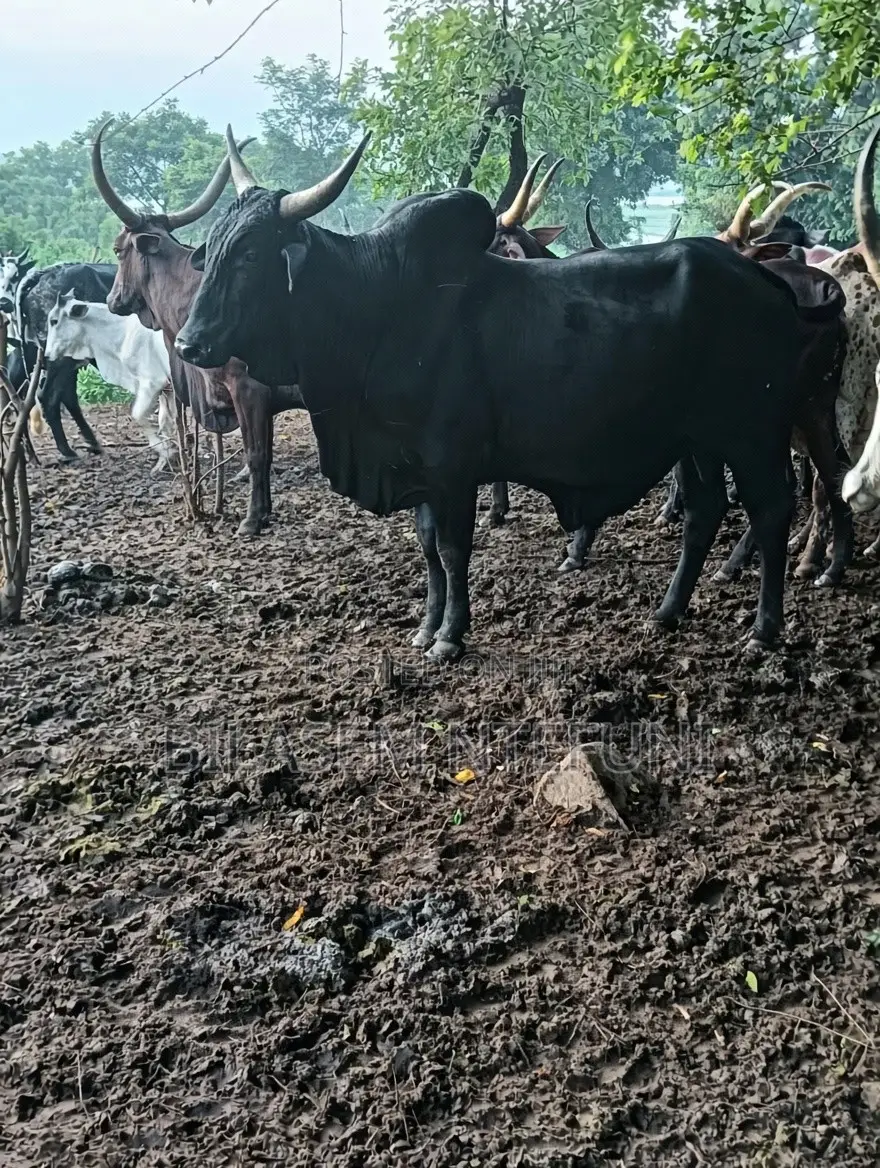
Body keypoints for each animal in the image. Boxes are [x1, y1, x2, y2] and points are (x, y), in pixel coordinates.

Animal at [45, 291, 176, 473]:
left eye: (54, 320)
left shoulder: (152, 382)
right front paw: (164, 461)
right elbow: (165, 420)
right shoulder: (166, 389)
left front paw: (165, 452)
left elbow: (138, 415)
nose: (47, 354)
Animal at [91, 122, 303, 535]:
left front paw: (252, 519)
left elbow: (256, 454)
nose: (113, 299)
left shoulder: (249, 389)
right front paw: (264, 511)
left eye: (118, 249)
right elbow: (264, 453)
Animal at [175, 127, 845, 662]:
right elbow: (427, 549)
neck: (378, 305)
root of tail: (773, 284)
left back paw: (763, 631)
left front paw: (450, 636)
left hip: (751, 433)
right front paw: (425, 628)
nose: (187, 342)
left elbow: (452, 549)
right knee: (705, 510)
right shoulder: (417, 469)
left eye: (251, 254)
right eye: (214, 249)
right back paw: (668, 611)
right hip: (697, 440)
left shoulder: (452, 469)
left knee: (771, 508)